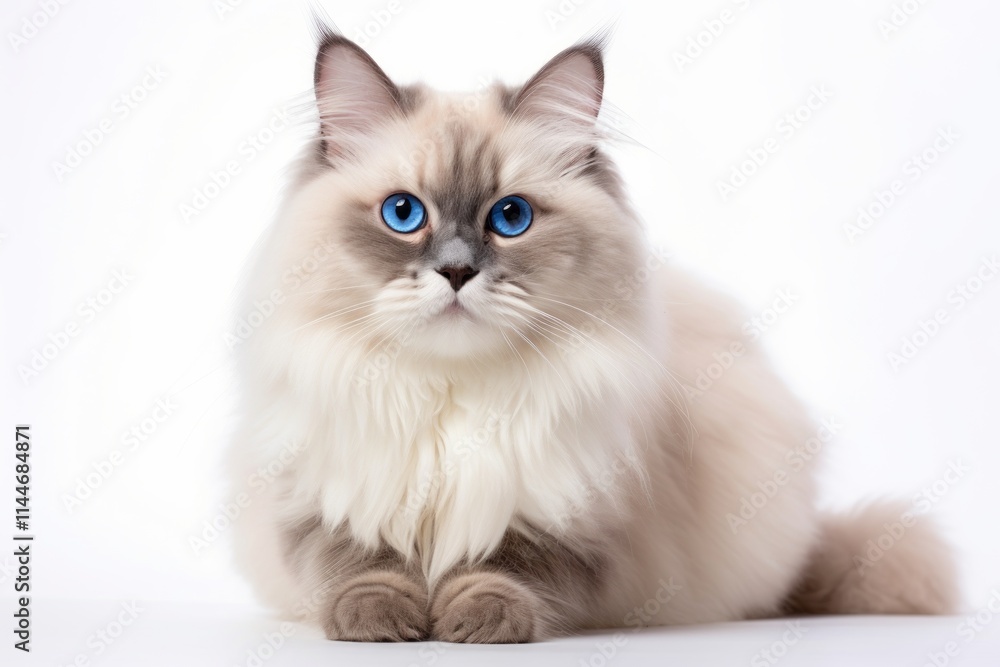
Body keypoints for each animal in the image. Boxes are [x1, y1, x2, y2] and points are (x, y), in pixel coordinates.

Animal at [229, 23, 960, 644]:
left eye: (511, 218)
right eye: (403, 214)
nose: (458, 272)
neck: (454, 392)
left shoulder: (571, 518)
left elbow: (507, 567)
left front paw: (477, 621)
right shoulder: (329, 496)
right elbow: (360, 563)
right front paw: (378, 620)